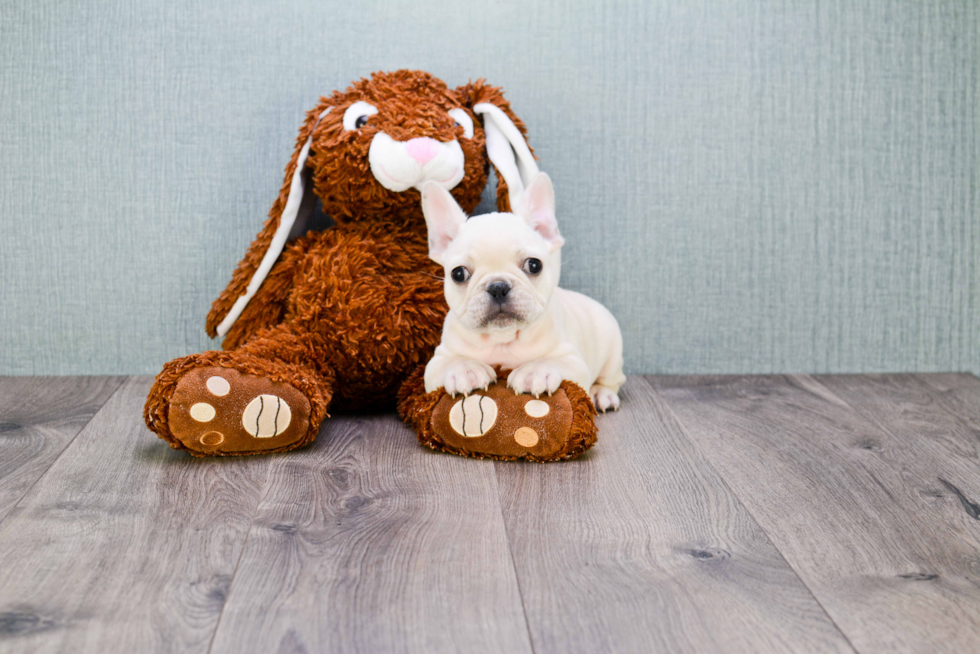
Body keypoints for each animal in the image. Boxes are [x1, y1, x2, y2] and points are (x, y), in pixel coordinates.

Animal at [420, 172, 620, 412]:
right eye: (458, 274)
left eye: (534, 265)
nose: (498, 287)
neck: (503, 341)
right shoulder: (437, 361)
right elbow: (451, 361)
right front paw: (465, 370)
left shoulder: (573, 360)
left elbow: (553, 360)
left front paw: (535, 370)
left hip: (612, 353)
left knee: (612, 380)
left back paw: (602, 394)